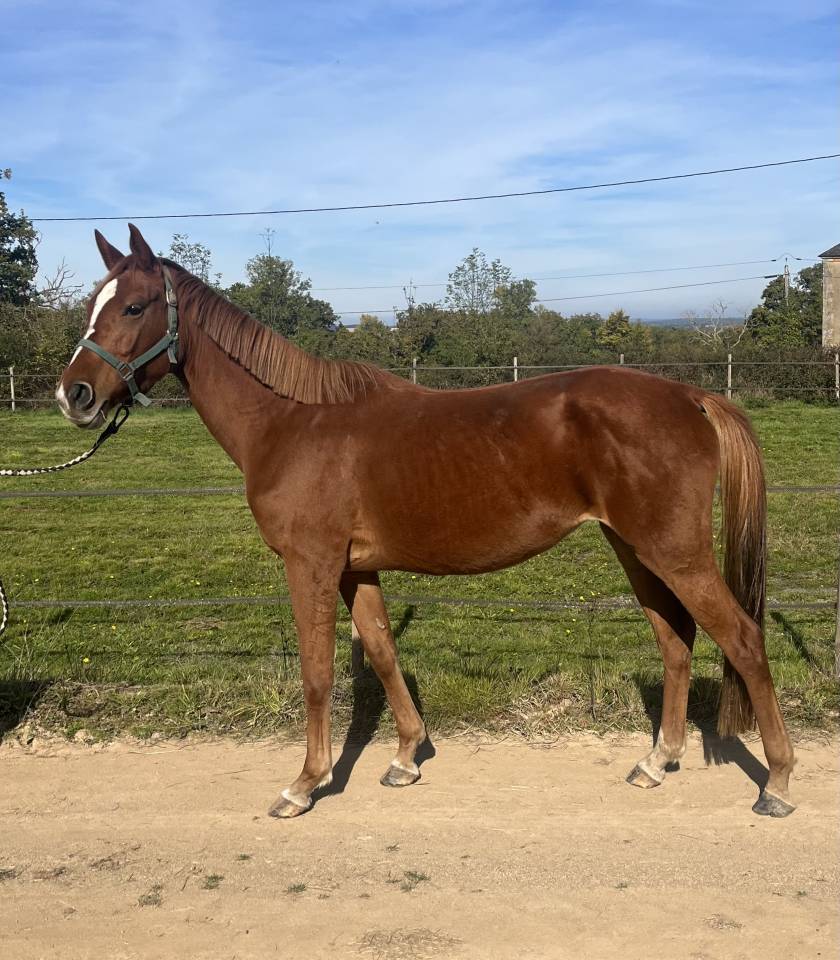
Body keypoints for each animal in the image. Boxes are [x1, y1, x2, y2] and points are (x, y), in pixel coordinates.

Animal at [55, 224, 796, 819]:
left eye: (134, 305)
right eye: (93, 305)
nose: (75, 394)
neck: (291, 423)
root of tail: (690, 396)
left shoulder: (311, 564)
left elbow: (318, 673)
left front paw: (304, 784)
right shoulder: (356, 569)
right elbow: (383, 653)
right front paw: (406, 757)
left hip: (673, 551)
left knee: (742, 639)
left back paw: (779, 782)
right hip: (635, 549)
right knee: (676, 642)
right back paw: (656, 762)